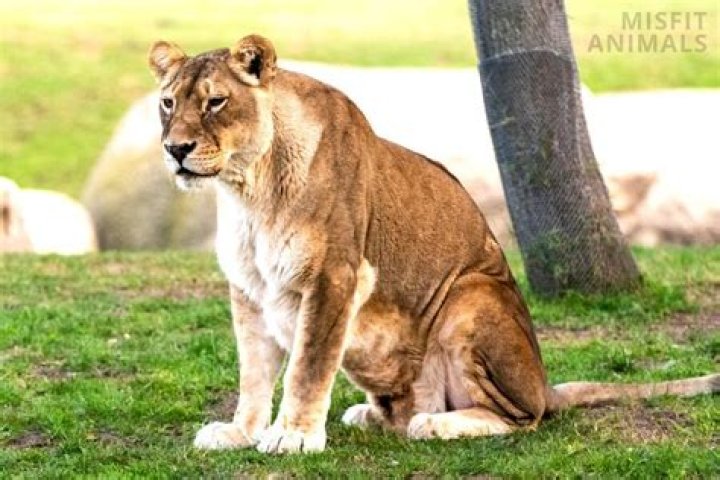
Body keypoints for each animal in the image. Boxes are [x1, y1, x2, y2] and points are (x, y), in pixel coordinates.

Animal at [147, 34, 718, 454]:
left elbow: (308, 366)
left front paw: (293, 436)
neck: (249, 190)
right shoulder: (249, 289)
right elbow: (254, 373)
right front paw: (241, 432)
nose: (175, 149)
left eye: (216, 102)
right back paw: (372, 414)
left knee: (524, 418)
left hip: (471, 295)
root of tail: (544, 383)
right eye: (168, 103)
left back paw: (435, 424)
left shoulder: (337, 276)